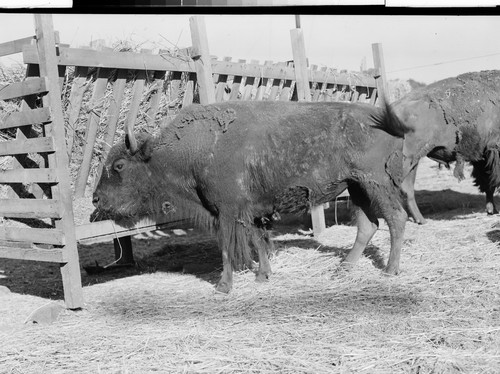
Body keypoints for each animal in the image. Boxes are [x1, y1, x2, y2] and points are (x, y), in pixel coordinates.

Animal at [93, 101, 410, 294]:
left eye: (119, 166)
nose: (96, 200)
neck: (196, 149)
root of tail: (380, 118)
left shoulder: (227, 212)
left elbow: (227, 248)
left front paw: (223, 286)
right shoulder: (253, 213)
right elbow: (258, 242)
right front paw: (262, 276)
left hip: (374, 183)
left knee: (396, 218)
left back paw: (390, 270)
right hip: (356, 186)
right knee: (368, 225)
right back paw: (342, 269)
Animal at [392, 70, 500, 224]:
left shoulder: (483, 156)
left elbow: (487, 183)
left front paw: (491, 210)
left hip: (413, 161)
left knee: (406, 188)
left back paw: (420, 219)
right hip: (406, 160)